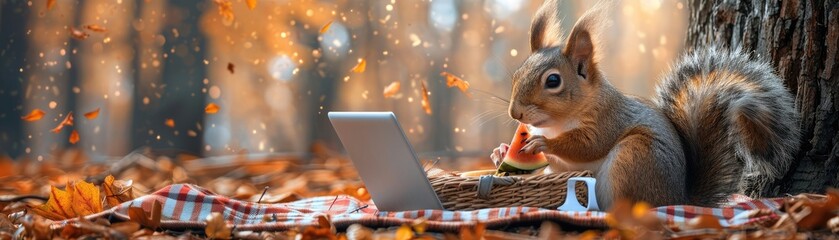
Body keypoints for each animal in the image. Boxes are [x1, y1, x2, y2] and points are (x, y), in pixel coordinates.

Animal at [492, 0, 800, 208]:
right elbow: (555, 168)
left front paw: (542, 144)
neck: (557, 123)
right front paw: (502, 151)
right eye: (517, 74)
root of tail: (678, 199)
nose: (515, 112)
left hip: (634, 156)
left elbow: (587, 145)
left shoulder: (608, 120)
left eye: (553, 81)